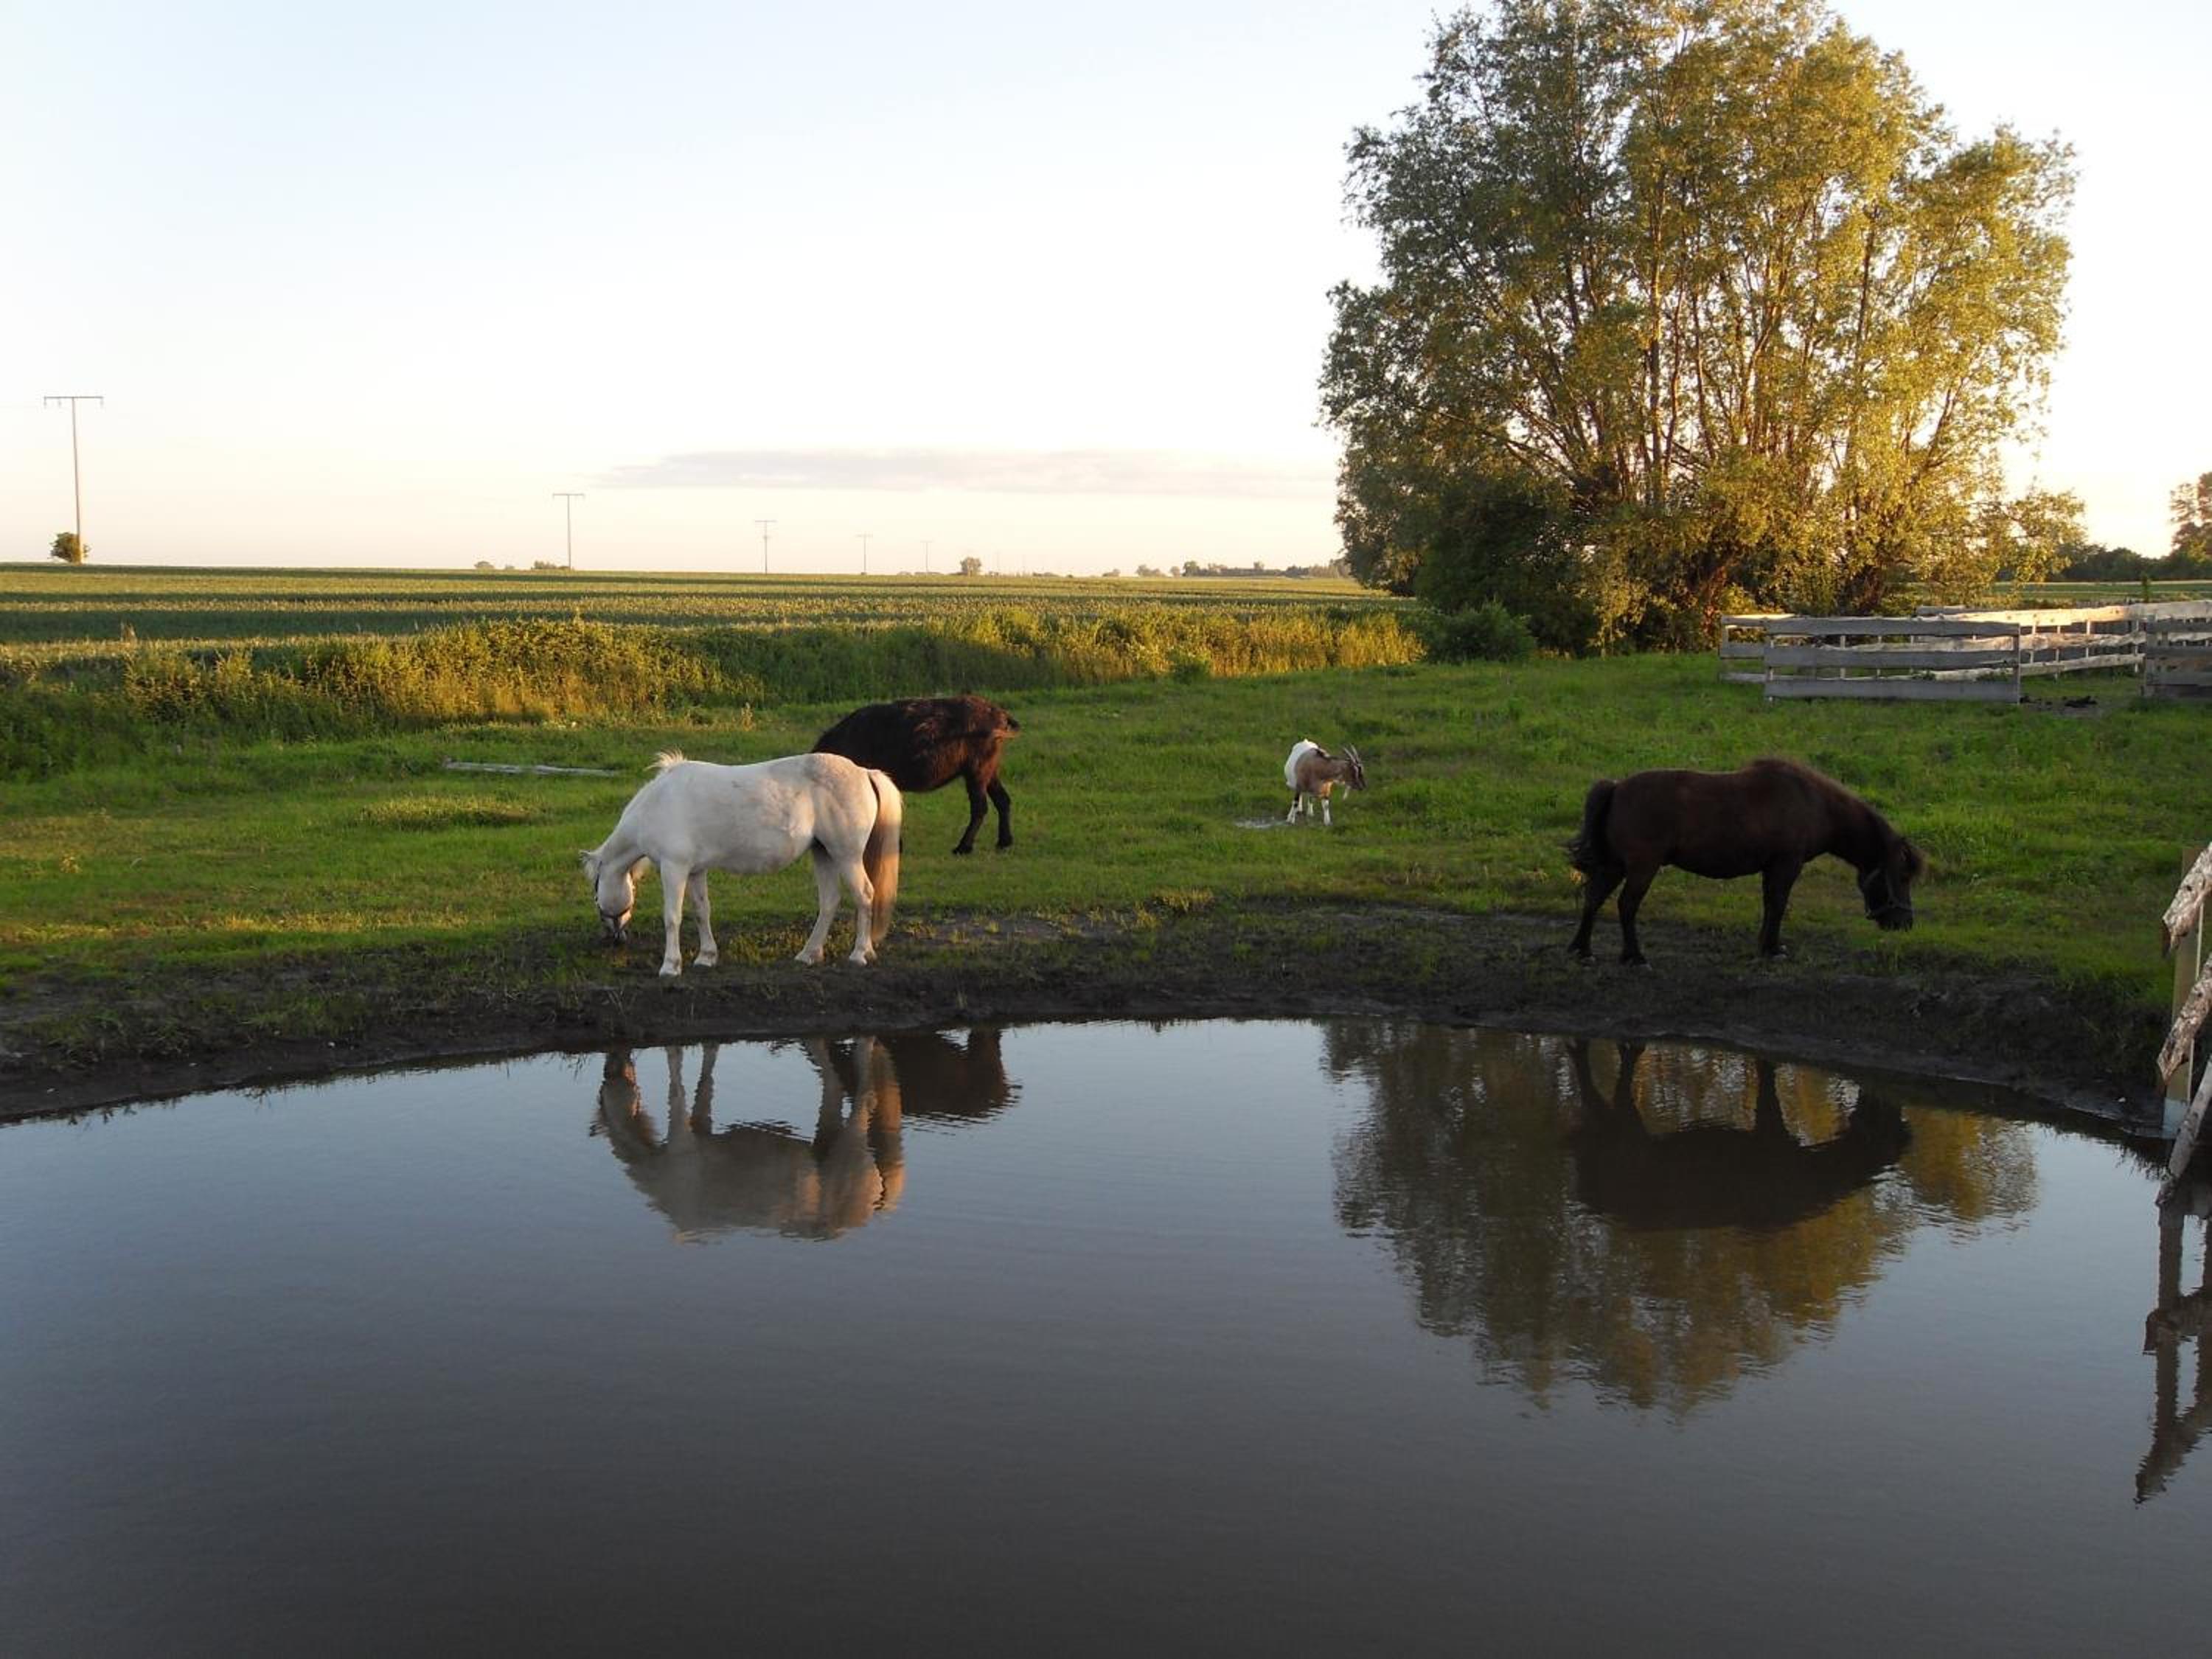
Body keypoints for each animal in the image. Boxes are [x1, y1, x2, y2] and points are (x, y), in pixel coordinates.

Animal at [581, 750, 901, 976]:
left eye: (595, 894)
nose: (614, 938)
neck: (658, 804)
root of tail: (865, 772)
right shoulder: (696, 871)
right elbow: (702, 912)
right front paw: (707, 957)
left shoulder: (674, 869)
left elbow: (672, 917)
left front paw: (671, 966)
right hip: (823, 853)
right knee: (830, 901)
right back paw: (809, 954)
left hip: (846, 855)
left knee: (864, 896)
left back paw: (859, 954)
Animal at [812, 694, 1019, 855]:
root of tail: (1001, 716)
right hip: (989, 770)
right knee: (1003, 800)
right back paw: (1004, 842)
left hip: (976, 771)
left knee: (980, 808)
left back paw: (963, 847)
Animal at [1566, 756, 1923, 964]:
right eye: (1903, 876)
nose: (1906, 923)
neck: (1815, 802)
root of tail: (1616, 788)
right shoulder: (1787, 864)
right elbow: (1778, 904)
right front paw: (1773, 949)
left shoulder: (1772, 868)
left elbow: (1769, 905)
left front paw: (1764, 945)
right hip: (1642, 867)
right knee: (1626, 905)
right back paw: (1634, 956)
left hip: (1615, 865)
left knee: (1594, 899)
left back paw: (1583, 951)